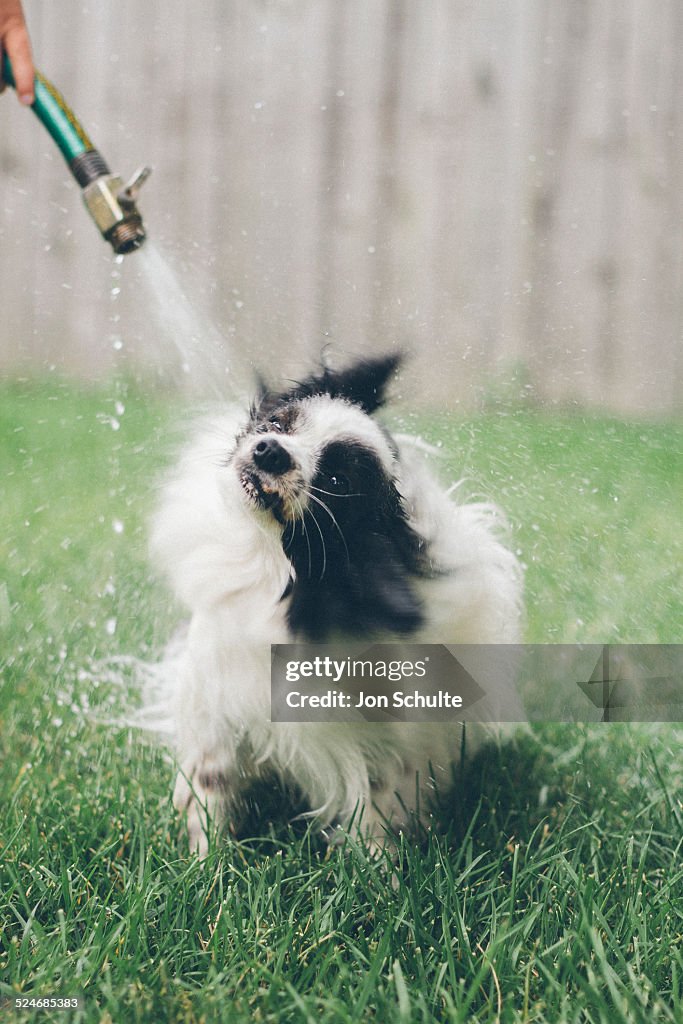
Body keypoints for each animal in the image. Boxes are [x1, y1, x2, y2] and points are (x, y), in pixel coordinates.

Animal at [149, 356, 524, 851]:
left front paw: (377, 867)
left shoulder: (387, 739)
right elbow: (209, 789)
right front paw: (207, 858)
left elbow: (380, 807)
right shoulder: (215, 709)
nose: (270, 449)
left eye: (335, 480)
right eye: (278, 423)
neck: (272, 572)